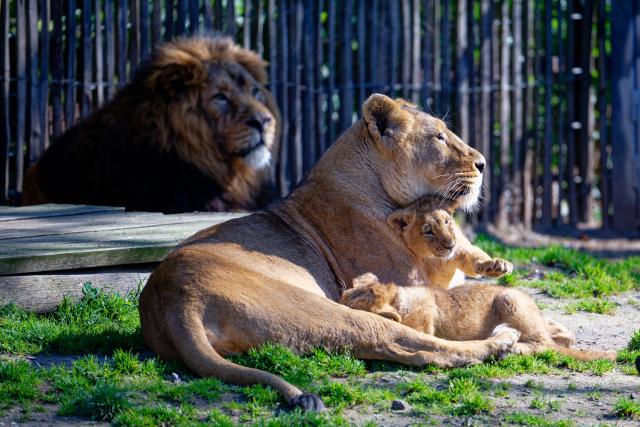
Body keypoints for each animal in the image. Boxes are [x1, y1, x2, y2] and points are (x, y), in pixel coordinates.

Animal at [138, 94, 521, 411]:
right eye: (439, 137)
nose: (483, 164)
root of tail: (172, 300)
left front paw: (492, 263)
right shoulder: (418, 287)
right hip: (321, 310)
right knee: (415, 347)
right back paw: (501, 342)